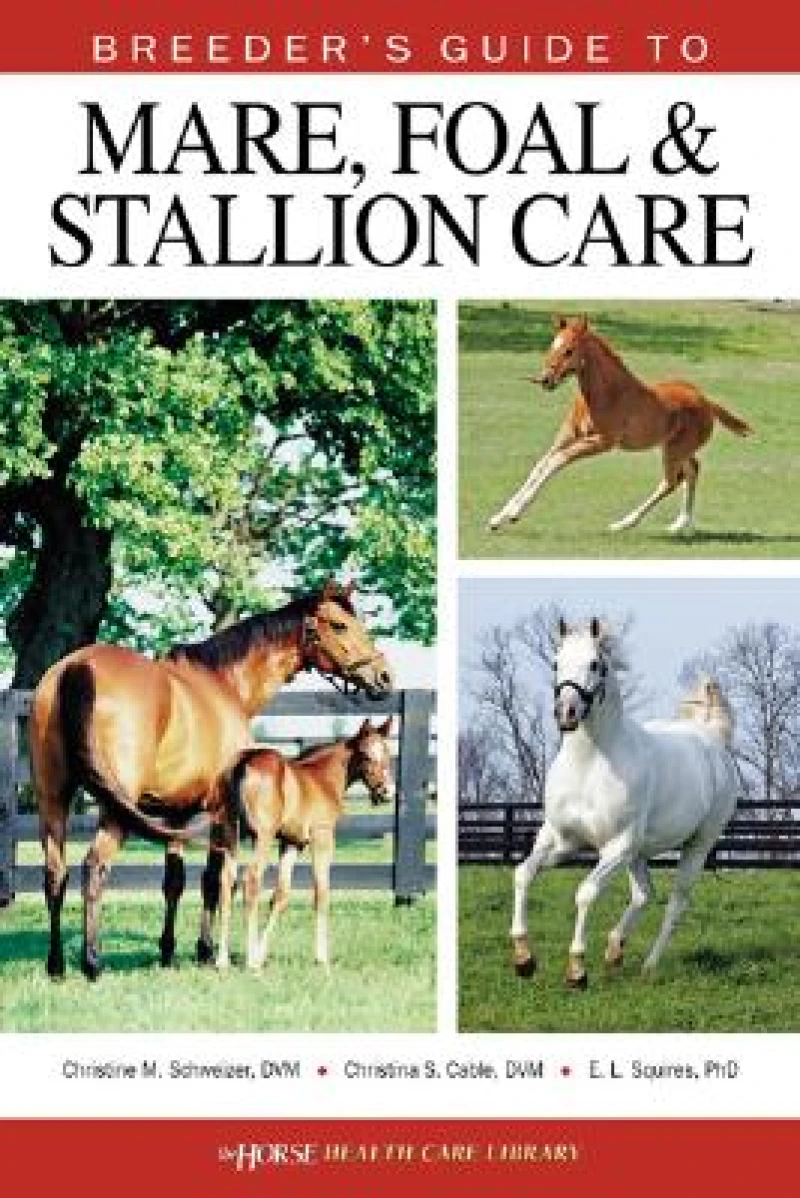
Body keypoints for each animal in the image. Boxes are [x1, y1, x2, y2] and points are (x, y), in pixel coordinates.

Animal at [211, 718, 394, 971]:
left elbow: (281, 896)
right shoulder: (322, 837)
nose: (386, 792)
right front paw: (321, 957)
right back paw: (250, 962)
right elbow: (321, 893)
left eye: (388, 752)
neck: (323, 779)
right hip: (262, 837)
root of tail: (244, 761)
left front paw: (261, 953)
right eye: (366, 755)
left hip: (231, 834)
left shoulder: (291, 843)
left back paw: (222, 960)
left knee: (226, 881)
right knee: (251, 880)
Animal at [489, 315, 751, 535]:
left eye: (569, 350)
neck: (605, 394)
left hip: (674, 451)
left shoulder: (602, 442)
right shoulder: (566, 437)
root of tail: (706, 401)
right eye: (551, 346)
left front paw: (514, 514)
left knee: (671, 482)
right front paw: (499, 518)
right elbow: (540, 465)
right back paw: (680, 524)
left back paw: (624, 523)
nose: (545, 380)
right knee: (692, 470)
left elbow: (555, 462)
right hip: (676, 448)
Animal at [510, 618, 739, 988]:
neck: (588, 765)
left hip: (695, 846)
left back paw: (648, 966)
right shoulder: (559, 841)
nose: (566, 713)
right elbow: (523, 874)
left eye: (595, 664)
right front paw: (523, 959)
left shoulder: (615, 847)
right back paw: (615, 950)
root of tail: (711, 739)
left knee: (675, 904)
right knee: (644, 894)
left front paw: (577, 970)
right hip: (639, 852)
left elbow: (586, 892)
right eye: (556, 663)